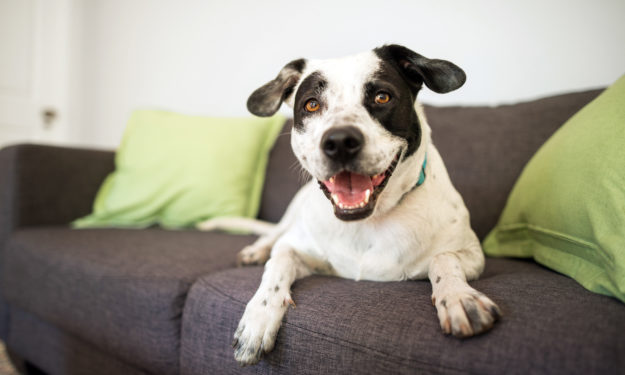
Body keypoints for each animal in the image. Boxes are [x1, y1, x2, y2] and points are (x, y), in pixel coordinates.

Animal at [197, 44, 500, 368]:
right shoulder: (301, 249)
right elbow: (278, 262)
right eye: (312, 105)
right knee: (273, 235)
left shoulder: (473, 254)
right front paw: (259, 316)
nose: (340, 141)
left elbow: (443, 258)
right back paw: (256, 249)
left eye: (382, 97)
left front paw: (459, 297)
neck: (367, 222)